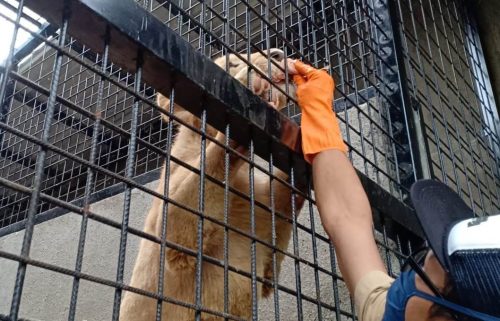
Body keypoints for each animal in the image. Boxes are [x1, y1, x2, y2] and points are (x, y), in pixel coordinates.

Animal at [120, 48, 304, 318]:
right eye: (231, 63)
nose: (278, 54)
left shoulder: (267, 247)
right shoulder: (171, 238)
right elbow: (207, 171)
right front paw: (251, 83)